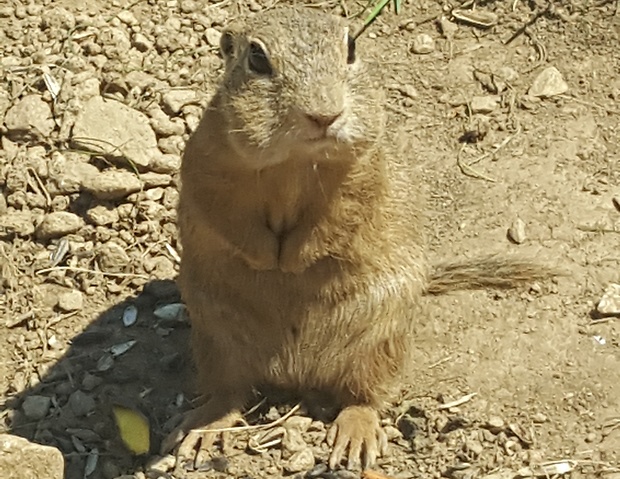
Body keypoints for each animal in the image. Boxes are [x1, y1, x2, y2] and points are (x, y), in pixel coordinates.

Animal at [168, 5, 552, 472]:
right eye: (256, 59)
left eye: (351, 47)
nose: (325, 115)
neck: (297, 159)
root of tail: (296, 371)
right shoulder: (207, 162)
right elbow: (223, 213)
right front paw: (265, 259)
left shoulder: (365, 168)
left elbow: (343, 214)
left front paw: (293, 261)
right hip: (215, 339)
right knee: (229, 392)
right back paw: (203, 429)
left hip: (380, 340)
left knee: (363, 397)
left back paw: (355, 435)